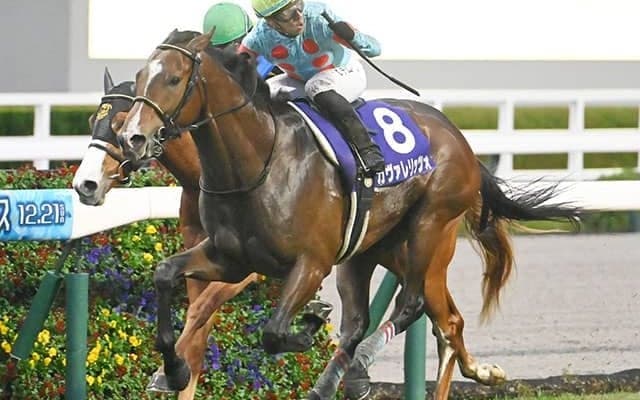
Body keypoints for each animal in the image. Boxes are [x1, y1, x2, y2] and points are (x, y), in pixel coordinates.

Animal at [72, 67, 331, 399]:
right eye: (93, 120)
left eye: (120, 124)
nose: (86, 184)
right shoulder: (199, 248)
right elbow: (198, 319)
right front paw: (179, 368)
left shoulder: (246, 264)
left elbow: (199, 309)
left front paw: (164, 372)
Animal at [117, 29, 582, 399]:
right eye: (139, 77)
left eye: (174, 78)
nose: (132, 138)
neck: (258, 163)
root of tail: (458, 136)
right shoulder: (229, 258)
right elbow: (165, 274)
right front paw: (175, 369)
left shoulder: (311, 262)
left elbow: (273, 333)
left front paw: (308, 324)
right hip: (371, 250)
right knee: (414, 320)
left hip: (429, 226)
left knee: (411, 304)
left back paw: (360, 365)